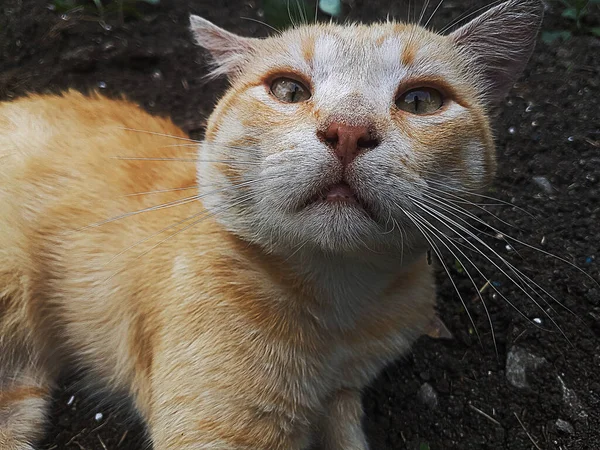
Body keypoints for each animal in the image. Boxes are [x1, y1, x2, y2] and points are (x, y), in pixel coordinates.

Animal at [0, 0, 544, 448]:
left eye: (420, 101)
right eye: (288, 89)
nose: (348, 131)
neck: (341, 309)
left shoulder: (347, 389)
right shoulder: (221, 424)